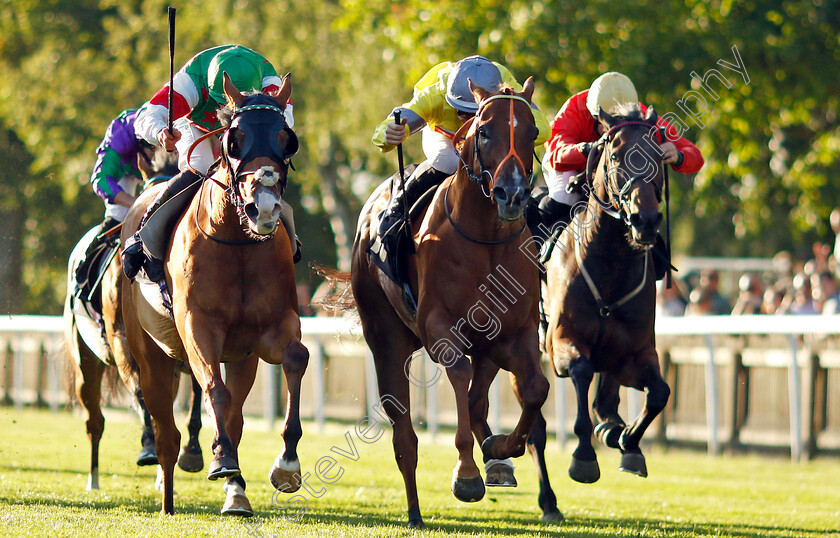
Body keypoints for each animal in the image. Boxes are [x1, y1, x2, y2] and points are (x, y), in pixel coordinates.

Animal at [114, 73, 306, 512]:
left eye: (286, 138)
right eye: (236, 139)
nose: (264, 207)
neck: (236, 241)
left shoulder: (268, 330)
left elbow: (296, 358)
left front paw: (286, 463)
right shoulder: (197, 326)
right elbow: (214, 391)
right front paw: (220, 459)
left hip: (241, 358)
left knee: (234, 414)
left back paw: (236, 494)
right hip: (149, 354)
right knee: (165, 431)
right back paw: (168, 497)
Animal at [350, 80, 552, 528]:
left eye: (532, 132)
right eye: (485, 131)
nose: (512, 194)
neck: (486, 238)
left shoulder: (516, 333)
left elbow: (535, 388)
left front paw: (500, 449)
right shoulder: (439, 327)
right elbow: (458, 378)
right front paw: (467, 474)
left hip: (488, 347)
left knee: (479, 402)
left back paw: (496, 460)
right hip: (386, 340)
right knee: (405, 436)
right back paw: (414, 511)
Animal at [532, 102, 668, 516]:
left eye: (660, 154)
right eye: (617, 155)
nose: (646, 219)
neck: (611, 263)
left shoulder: (636, 351)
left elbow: (660, 392)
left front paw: (627, 441)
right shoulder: (560, 344)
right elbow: (581, 371)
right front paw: (583, 457)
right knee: (533, 428)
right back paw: (545, 498)